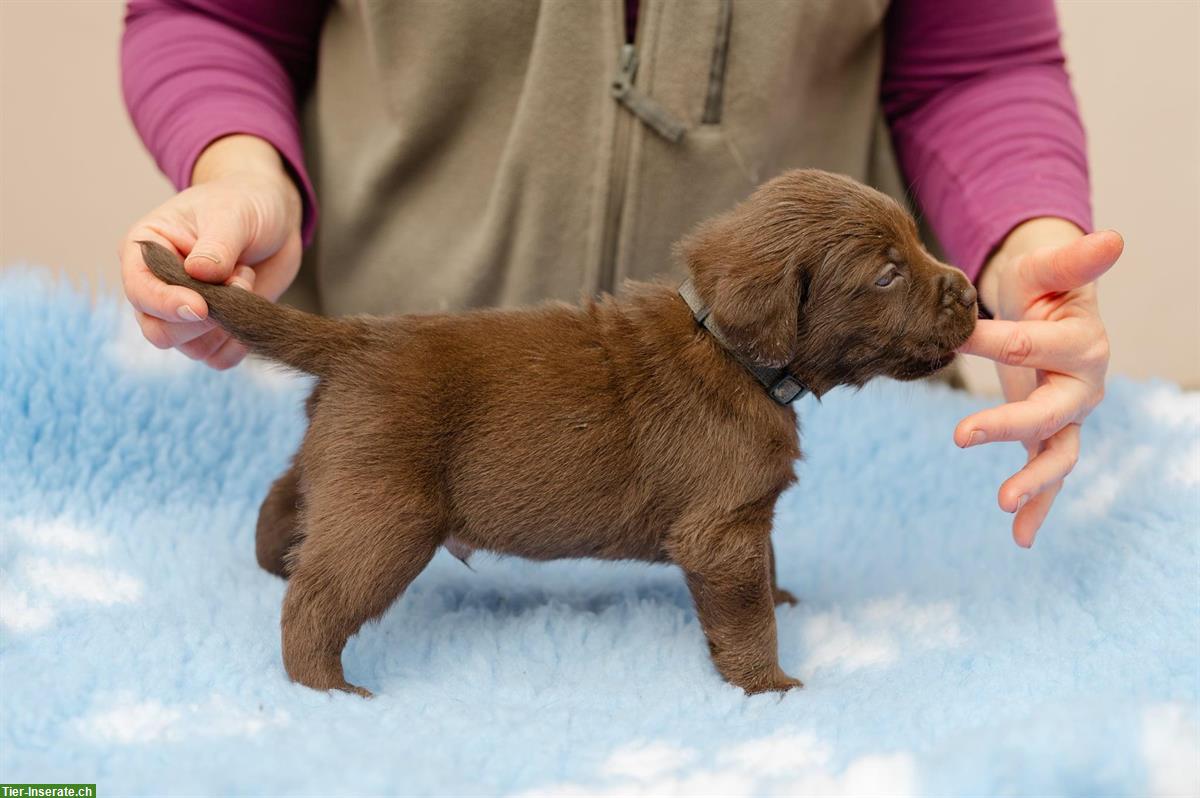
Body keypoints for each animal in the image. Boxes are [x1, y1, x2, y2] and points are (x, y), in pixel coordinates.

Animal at [142, 169, 974, 696]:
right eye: (887, 274)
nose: (968, 291)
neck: (730, 349)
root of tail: (357, 338)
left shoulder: (745, 519)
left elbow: (766, 570)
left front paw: (784, 600)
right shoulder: (722, 528)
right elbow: (745, 613)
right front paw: (768, 685)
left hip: (341, 466)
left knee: (284, 500)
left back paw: (273, 564)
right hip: (388, 515)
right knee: (316, 600)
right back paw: (327, 690)